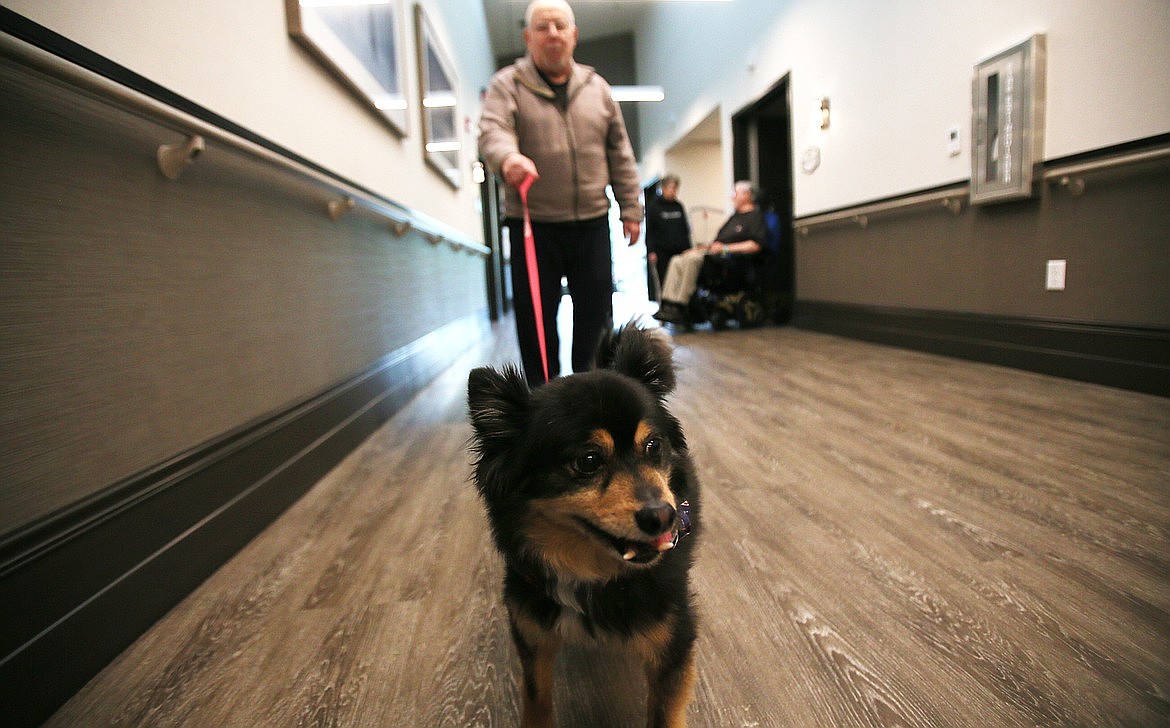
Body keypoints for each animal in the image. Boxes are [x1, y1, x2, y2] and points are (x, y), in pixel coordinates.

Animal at [465, 327, 697, 728]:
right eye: (588, 461)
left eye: (654, 446)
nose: (663, 517)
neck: (590, 575)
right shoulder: (531, 628)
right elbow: (536, 696)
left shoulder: (673, 640)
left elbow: (664, 713)